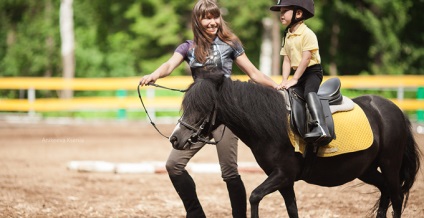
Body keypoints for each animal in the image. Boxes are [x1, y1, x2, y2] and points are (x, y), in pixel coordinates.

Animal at [170, 73, 420, 218]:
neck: (273, 124)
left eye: (201, 107)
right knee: (385, 192)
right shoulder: (284, 180)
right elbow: (292, 209)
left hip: (390, 164)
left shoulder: (283, 175)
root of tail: (393, 109)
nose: (175, 138)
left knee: (397, 198)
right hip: (366, 169)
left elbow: (254, 197)